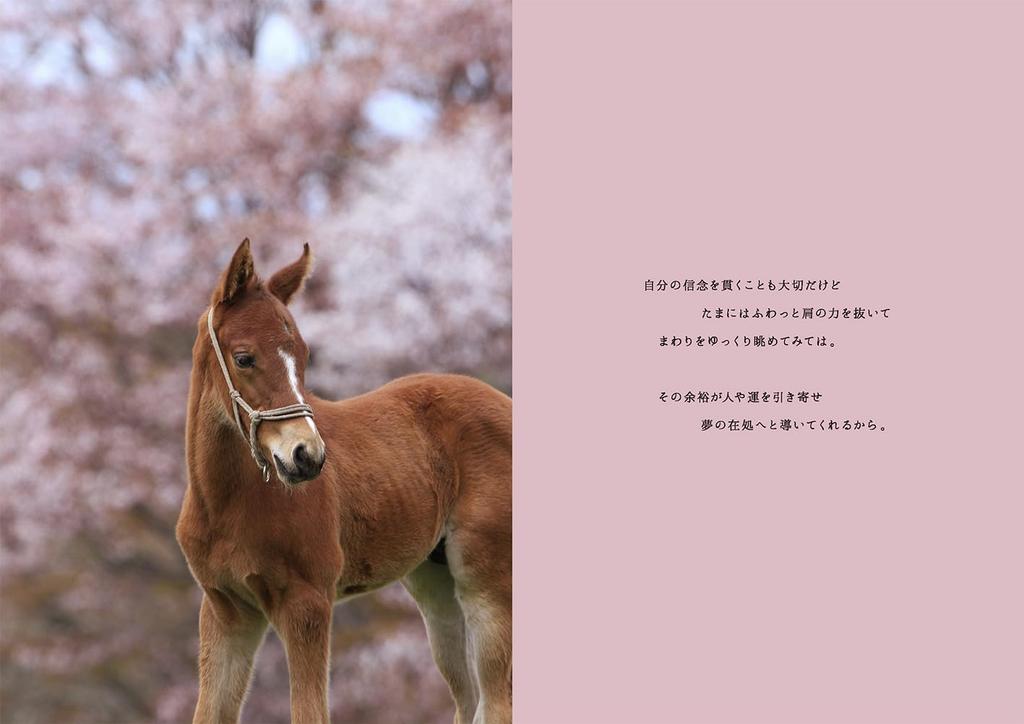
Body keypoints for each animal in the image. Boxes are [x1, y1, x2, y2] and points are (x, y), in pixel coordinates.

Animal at [175, 239, 512, 724]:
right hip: (433, 584)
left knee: (497, 698)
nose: (307, 456)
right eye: (243, 358)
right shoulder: (226, 610)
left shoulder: (308, 603)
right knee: (469, 699)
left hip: (487, 580)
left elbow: (310, 712)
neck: (226, 503)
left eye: (303, 355)